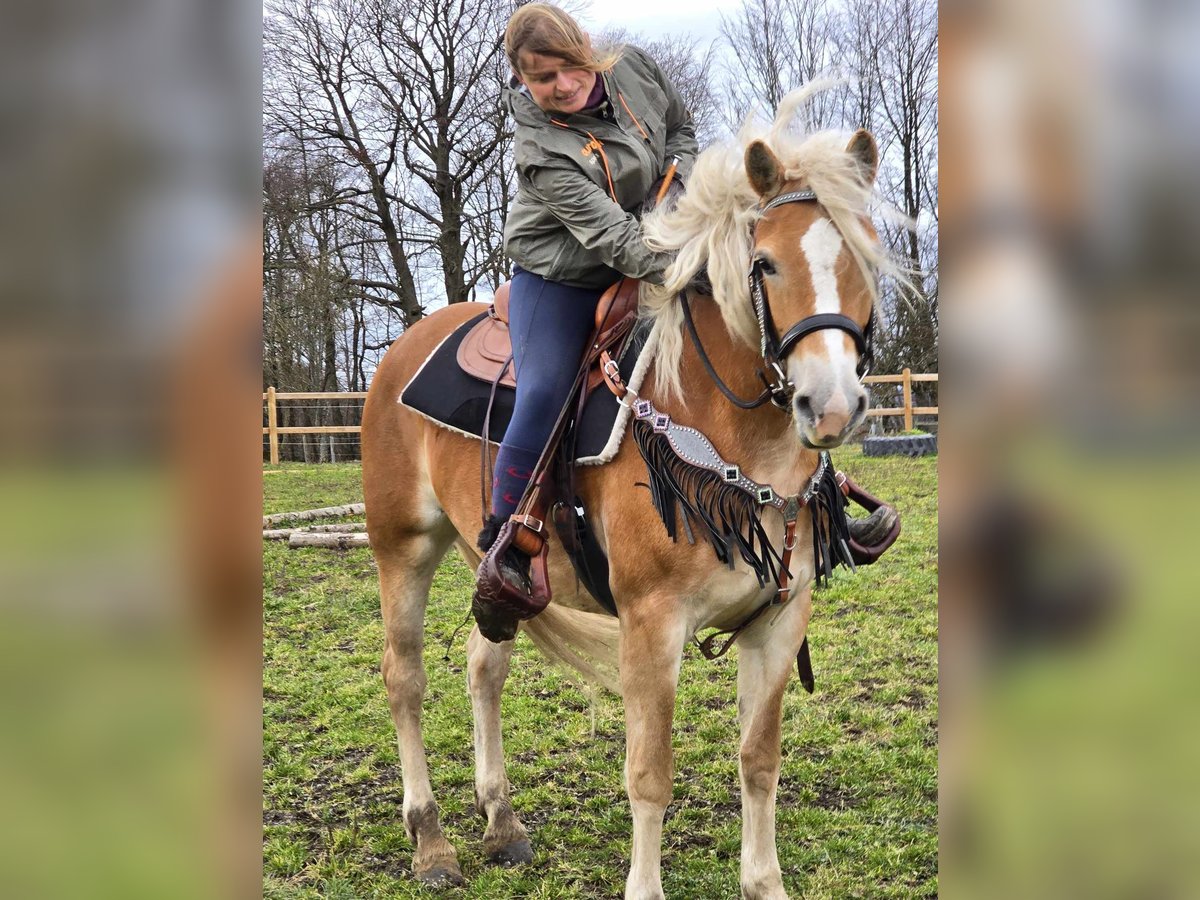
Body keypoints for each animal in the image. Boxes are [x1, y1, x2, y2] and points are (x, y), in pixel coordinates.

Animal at [357, 91, 902, 900]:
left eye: (865, 258)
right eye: (764, 262)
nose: (830, 406)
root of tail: (401, 349)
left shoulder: (780, 621)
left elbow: (759, 760)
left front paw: (764, 883)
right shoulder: (652, 624)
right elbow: (650, 775)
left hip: (498, 573)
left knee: (483, 664)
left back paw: (501, 823)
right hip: (403, 548)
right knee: (405, 678)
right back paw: (432, 842)